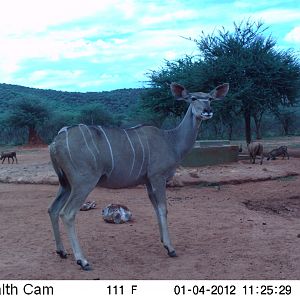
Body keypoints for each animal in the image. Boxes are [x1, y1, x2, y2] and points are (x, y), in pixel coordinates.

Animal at [48, 81, 229, 270]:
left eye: (210, 99)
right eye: (193, 98)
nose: (207, 111)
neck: (171, 140)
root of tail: (55, 142)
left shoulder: (148, 181)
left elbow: (156, 208)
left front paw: (163, 242)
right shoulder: (158, 177)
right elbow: (163, 208)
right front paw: (170, 248)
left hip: (66, 184)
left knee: (53, 209)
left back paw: (61, 252)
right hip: (83, 182)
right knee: (67, 213)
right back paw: (82, 260)